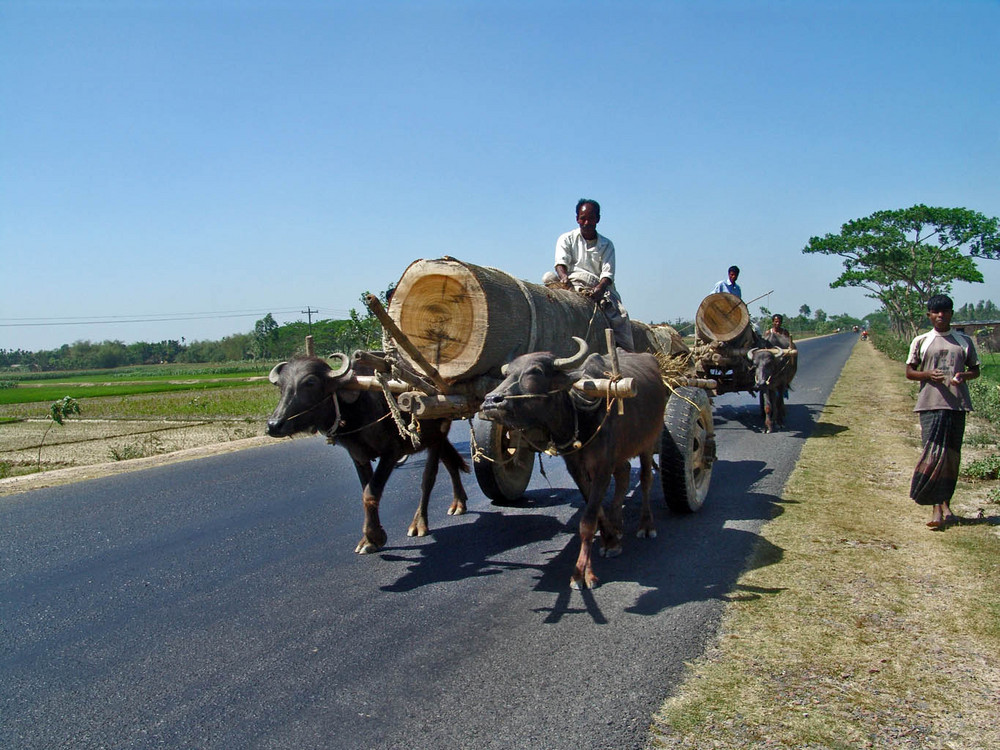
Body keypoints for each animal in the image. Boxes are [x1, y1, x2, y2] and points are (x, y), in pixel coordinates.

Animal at [266, 356, 468, 556]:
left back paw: (419, 523)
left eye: (310, 383)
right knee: (450, 462)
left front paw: (373, 537)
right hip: (433, 436)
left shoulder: (392, 452)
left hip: (438, 435)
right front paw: (371, 538)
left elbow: (371, 492)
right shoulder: (358, 456)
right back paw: (458, 503)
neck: (357, 408)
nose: (274, 424)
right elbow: (367, 488)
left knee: (429, 478)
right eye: (281, 386)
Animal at [476, 338, 664, 592]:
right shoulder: (576, 468)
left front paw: (582, 574)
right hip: (622, 452)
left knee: (645, 480)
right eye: (507, 374)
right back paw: (617, 525)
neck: (580, 417)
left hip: (648, 441)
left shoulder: (602, 467)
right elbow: (596, 513)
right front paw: (609, 541)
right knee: (624, 475)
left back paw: (646, 525)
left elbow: (588, 520)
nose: (490, 401)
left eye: (535, 371)